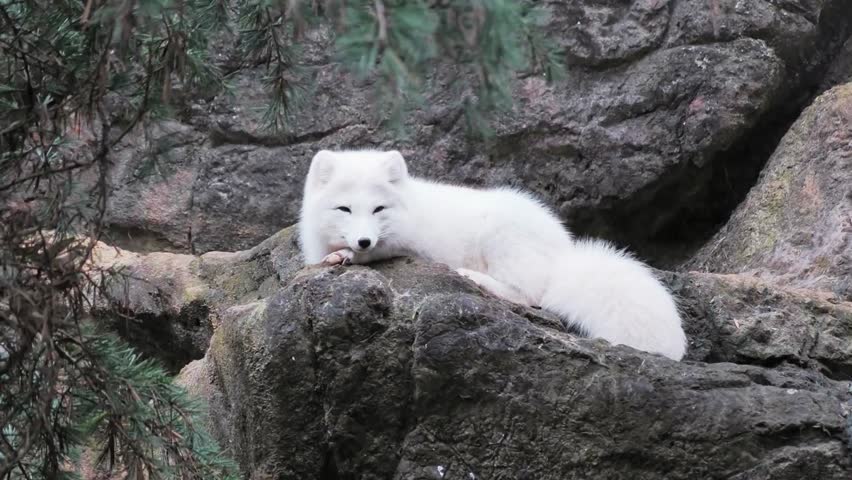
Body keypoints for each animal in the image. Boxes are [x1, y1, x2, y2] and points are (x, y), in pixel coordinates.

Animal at [299, 149, 687, 360]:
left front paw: (347, 255)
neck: (412, 204)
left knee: (531, 295)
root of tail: (564, 254)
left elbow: (382, 251)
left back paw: (475, 278)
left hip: (502, 237)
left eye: (378, 209)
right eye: (344, 209)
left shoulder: (409, 244)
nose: (363, 240)